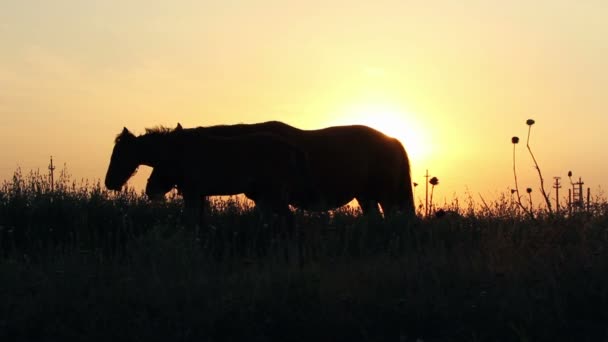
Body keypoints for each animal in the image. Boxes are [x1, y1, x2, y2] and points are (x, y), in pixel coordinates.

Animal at [143, 121, 418, 218]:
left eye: (168, 157)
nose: (151, 189)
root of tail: (392, 140)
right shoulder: (264, 199)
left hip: (385, 195)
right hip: (366, 195)